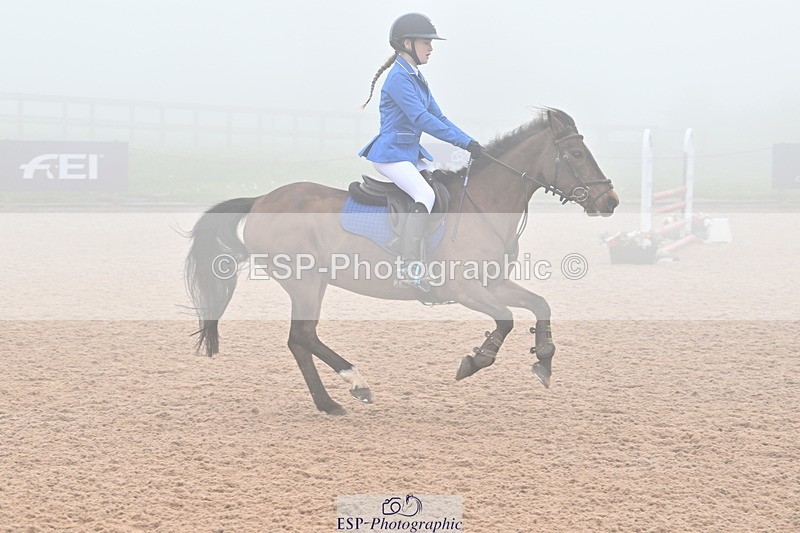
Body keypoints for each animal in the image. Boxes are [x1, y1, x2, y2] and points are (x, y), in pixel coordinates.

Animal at [184, 108, 619, 415]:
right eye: (576, 153)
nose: (610, 201)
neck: (483, 204)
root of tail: (261, 200)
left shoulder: (492, 284)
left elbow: (540, 305)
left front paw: (543, 359)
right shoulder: (464, 288)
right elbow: (506, 320)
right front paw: (475, 360)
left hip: (312, 283)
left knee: (299, 340)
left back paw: (330, 402)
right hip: (305, 282)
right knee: (303, 338)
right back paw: (354, 384)